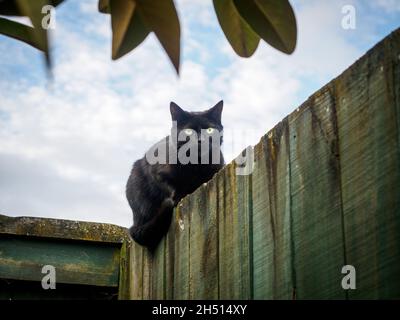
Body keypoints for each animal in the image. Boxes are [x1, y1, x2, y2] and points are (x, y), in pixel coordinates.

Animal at [126, 101, 223, 249]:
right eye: (188, 131)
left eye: (210, 130)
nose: (200, 140)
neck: (196, 165)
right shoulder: (157, 173)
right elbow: (171, 186)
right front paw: (178, 197)